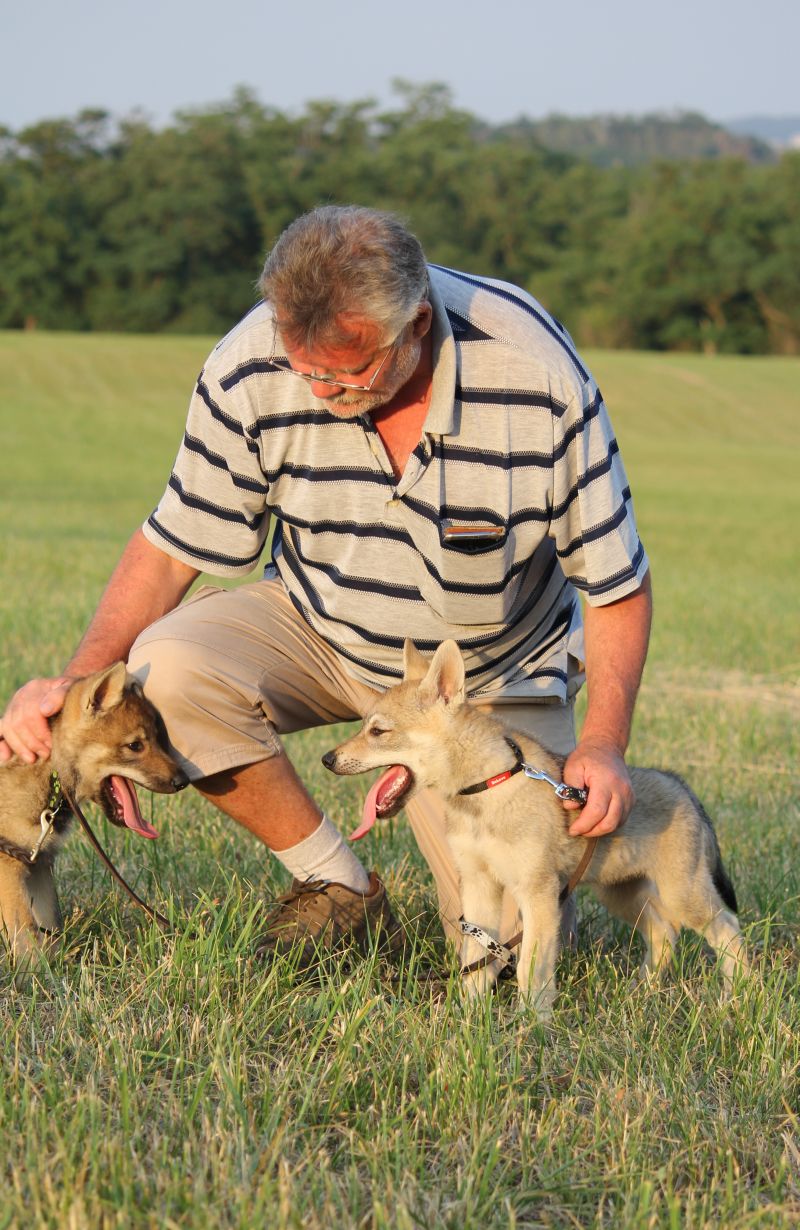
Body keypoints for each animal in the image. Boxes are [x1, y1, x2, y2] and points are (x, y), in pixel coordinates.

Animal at [320, 639, 743, 1013]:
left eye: (378, 731)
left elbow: (530, 969)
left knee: (729, 930)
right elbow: (476, 962)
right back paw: (644, 990)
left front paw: (532, 1025)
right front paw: (469, 1017)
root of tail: (683, 787)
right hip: (621, 893)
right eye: (364, 726)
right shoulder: (479, 887)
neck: (488, 788)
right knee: (664, 933)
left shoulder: (537, 893)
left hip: (683, 896)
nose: (327, 758)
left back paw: (737, 995)